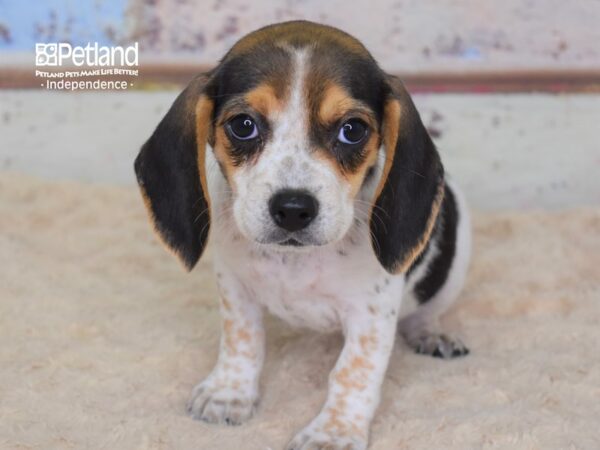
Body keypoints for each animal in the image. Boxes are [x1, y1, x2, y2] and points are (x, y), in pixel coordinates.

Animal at [136, 20, 474, 450]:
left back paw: (431, 334)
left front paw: (333, 431)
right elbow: (241, 341)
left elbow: (352, 373)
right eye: (243, 125)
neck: (294, 261)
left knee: (426, 311)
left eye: (353, 130)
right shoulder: (235, 288)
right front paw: (229, 392)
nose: (293, 209)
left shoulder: (371, 315)